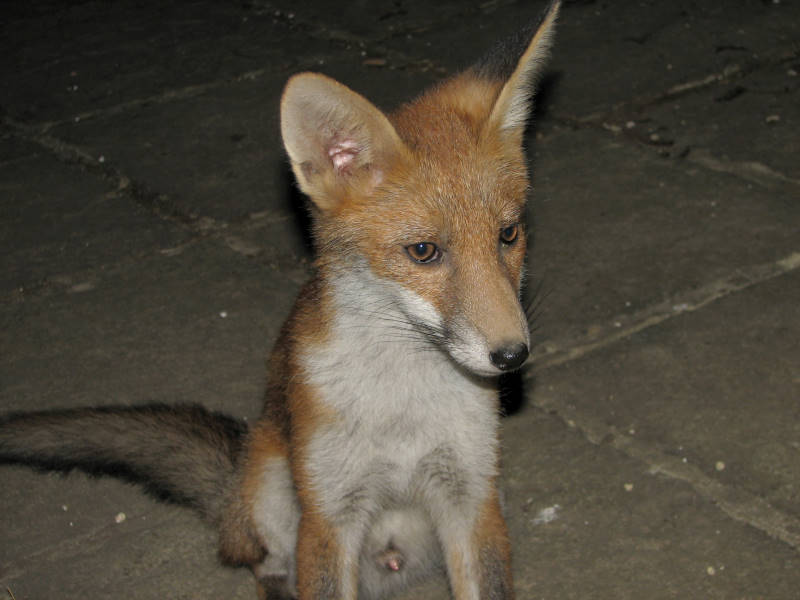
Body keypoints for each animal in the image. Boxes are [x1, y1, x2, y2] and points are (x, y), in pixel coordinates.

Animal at [0, 2, 560, 598]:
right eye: (424, 251)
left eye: (508, 235)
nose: (513, 355)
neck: (402, 407)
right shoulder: (330, 512)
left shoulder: (470, 497)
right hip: (274, 492)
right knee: (262, 563)